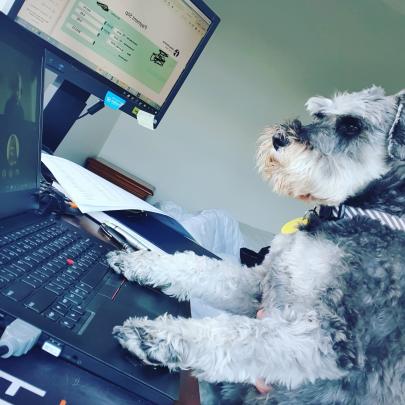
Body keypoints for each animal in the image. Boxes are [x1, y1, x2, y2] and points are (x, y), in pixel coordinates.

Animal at [105, 84, 402, 400]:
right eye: (320, 114)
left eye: (352, 126)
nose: (278, 138)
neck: (358, 210)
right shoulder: (261, 282)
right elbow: (199, 269)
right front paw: (137, 262)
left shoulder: (325, 337)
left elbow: (238, 335)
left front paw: (153, 337)